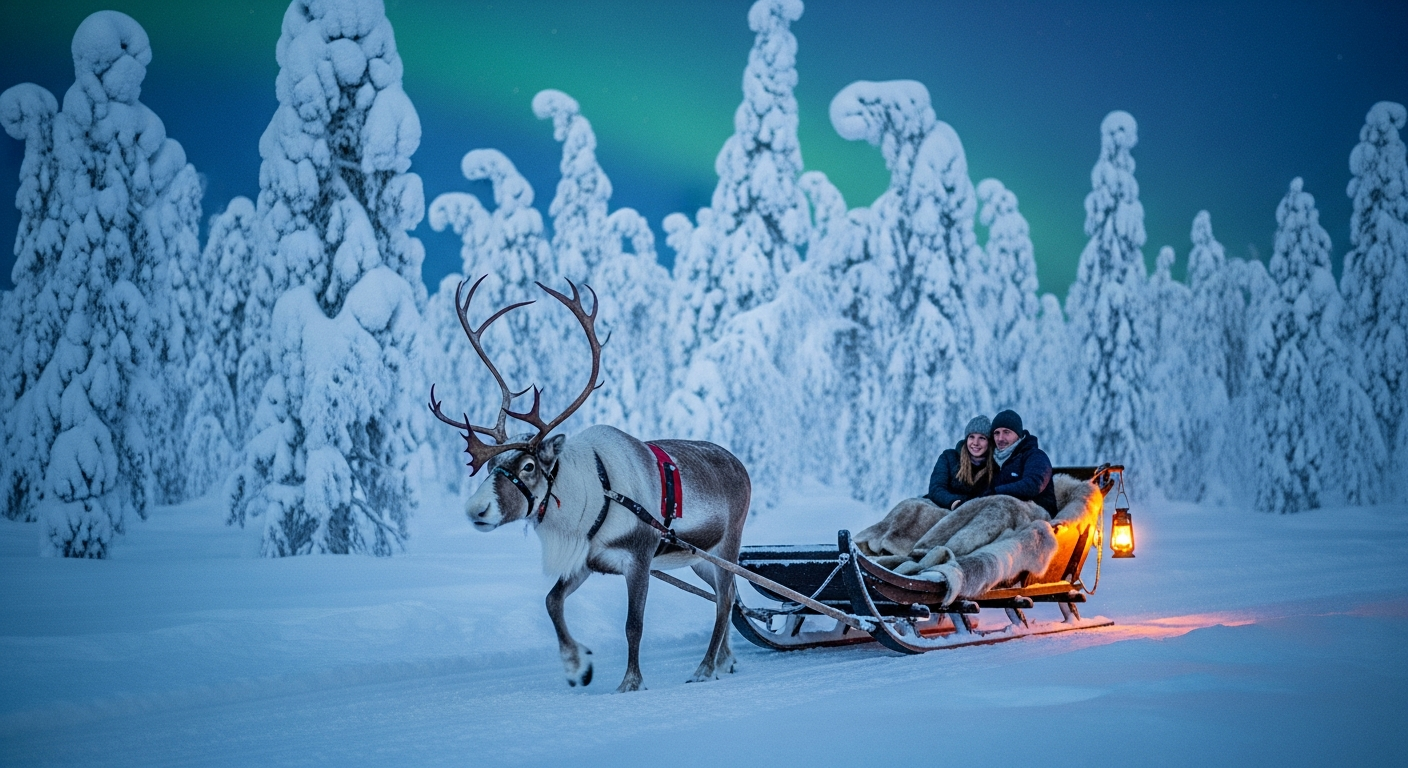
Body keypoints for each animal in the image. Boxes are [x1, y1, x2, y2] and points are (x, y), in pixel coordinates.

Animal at [429, 276, 751, 693]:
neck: (592, 496)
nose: (475, 509)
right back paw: (726, 660)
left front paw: (630, 682)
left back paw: (705, 667)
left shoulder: (639, 558)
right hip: (699, 558)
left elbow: (633, 625)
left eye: (529, 465)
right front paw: (577, 666)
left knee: (725, 599)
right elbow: (551, 602)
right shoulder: (585, 560)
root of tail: (741, 465)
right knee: (725, 597)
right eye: (493, 466)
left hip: (728, 544)